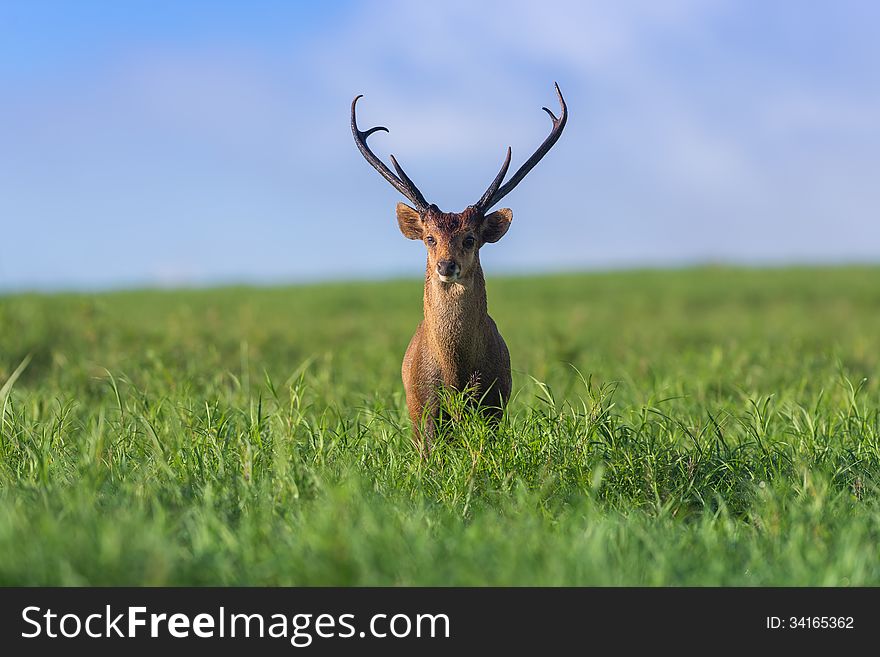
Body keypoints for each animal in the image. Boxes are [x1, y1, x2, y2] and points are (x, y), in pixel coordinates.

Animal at [352, 83, 572, 456]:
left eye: (470, 238)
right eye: (429, 237)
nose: (446, 265)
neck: (456, 373)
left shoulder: (494, 400)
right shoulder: (423, 404)